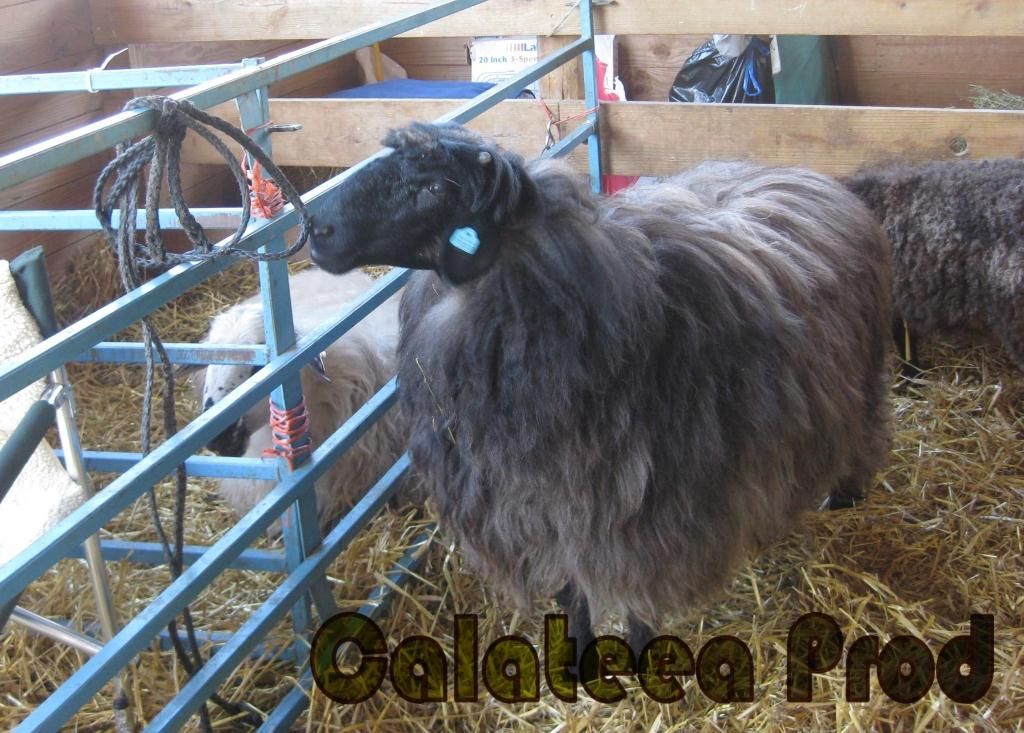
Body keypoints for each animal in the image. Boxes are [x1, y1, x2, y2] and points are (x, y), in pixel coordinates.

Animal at [307, 121, 893, 666]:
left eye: (433, 188)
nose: (315, 225)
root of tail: (808, 175)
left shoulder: (636, 515)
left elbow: (635, 601)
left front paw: (638, 660)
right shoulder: (535, 510)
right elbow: (571, 593)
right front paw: (576, 656)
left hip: (858, 384)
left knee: (861, 442)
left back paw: (844, 498)